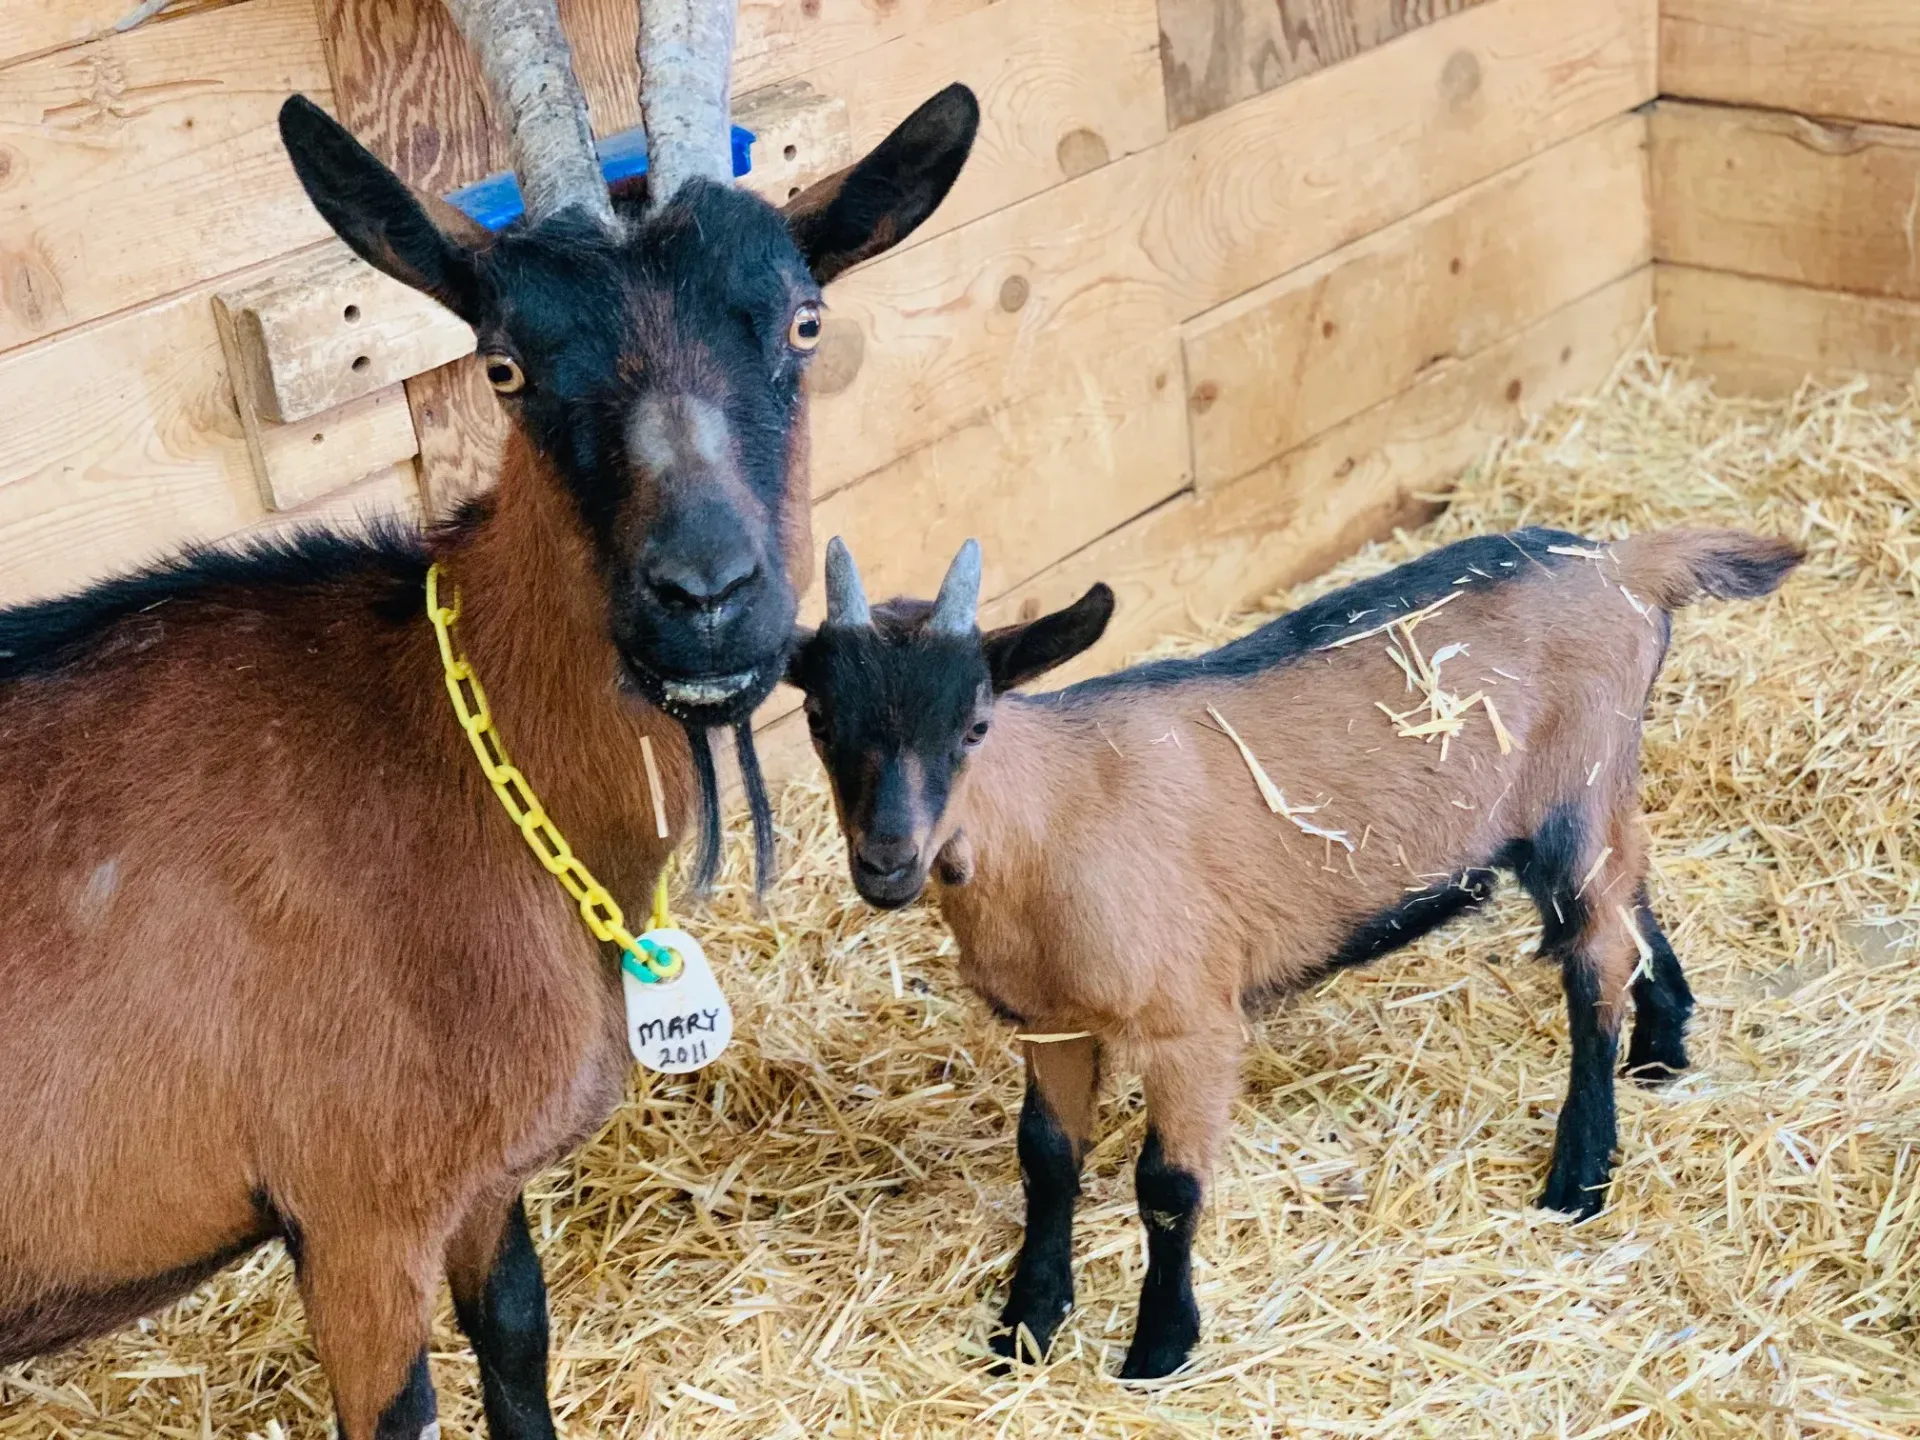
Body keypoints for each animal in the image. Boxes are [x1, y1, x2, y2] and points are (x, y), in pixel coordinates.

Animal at [0, 1, 976, 1434]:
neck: (450, 751)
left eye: (803, 323)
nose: (706, 598)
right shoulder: (356, 1216)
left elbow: (518, 1339)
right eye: (505, 366)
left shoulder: (480, 1184)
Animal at [785, 526, 1802, 1379]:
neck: (1051, 821)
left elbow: (1167, 1186)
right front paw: (1026, 1326)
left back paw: (1581, 1173)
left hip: (1574, 791)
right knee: (1629, 904)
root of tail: (1622, 563)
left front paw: (1159, 1348)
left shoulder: (1190, 1023)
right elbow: (1045, 1160)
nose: (887, 861)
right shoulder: (1050, 1026)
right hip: (1584, 805)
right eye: (821, 723)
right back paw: (1663, 1046)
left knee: (1592, 964)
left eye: (975, 725)